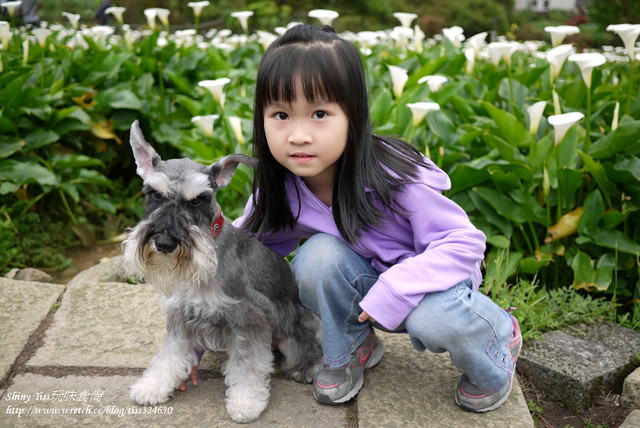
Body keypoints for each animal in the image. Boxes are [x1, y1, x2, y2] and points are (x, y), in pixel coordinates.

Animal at [124, 119, 322, 422]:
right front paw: (152, 386)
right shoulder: (181, 316)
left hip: (296, 324)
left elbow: (248, 365)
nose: (165, 243)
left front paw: (246, 403)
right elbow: (169, 355)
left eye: (197, 200)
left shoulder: (249, 318)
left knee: (311, 347)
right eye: (155, 194)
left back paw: (307, 368)